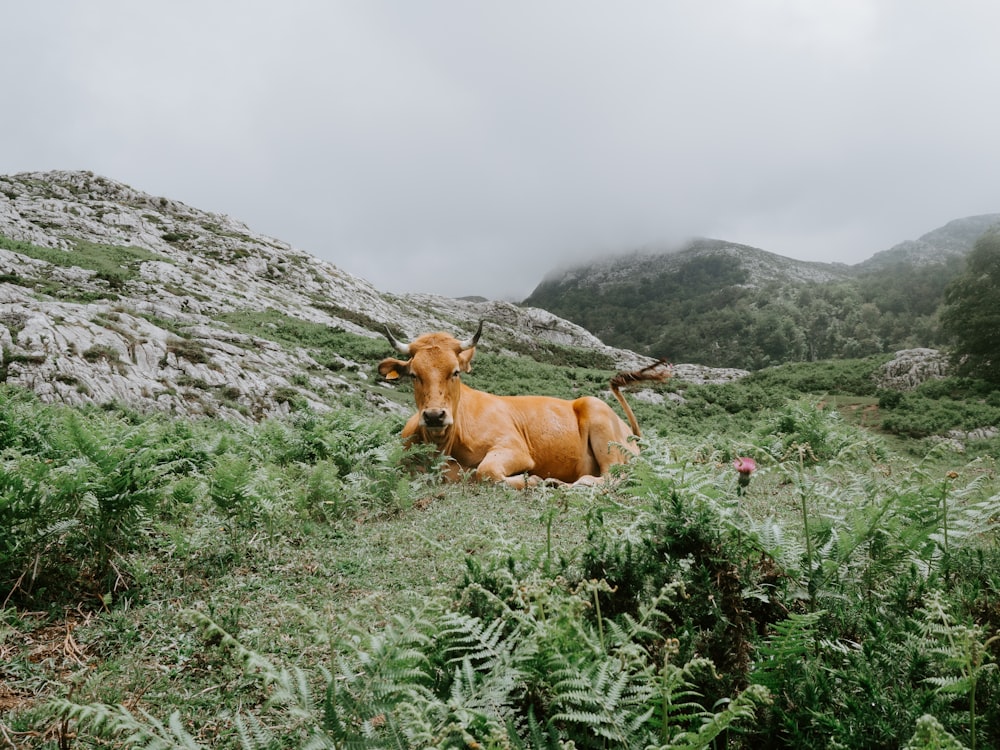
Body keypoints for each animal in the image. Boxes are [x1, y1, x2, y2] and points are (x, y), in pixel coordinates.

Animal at [378, 322, 668, 488]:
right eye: (414, 375)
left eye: (455, 372)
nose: (435, 416)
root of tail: (631, 434)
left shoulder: (515, 448)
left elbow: (486, 471)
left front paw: (532, 479)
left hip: (600, 421)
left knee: (612, 476)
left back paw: (564, 483)